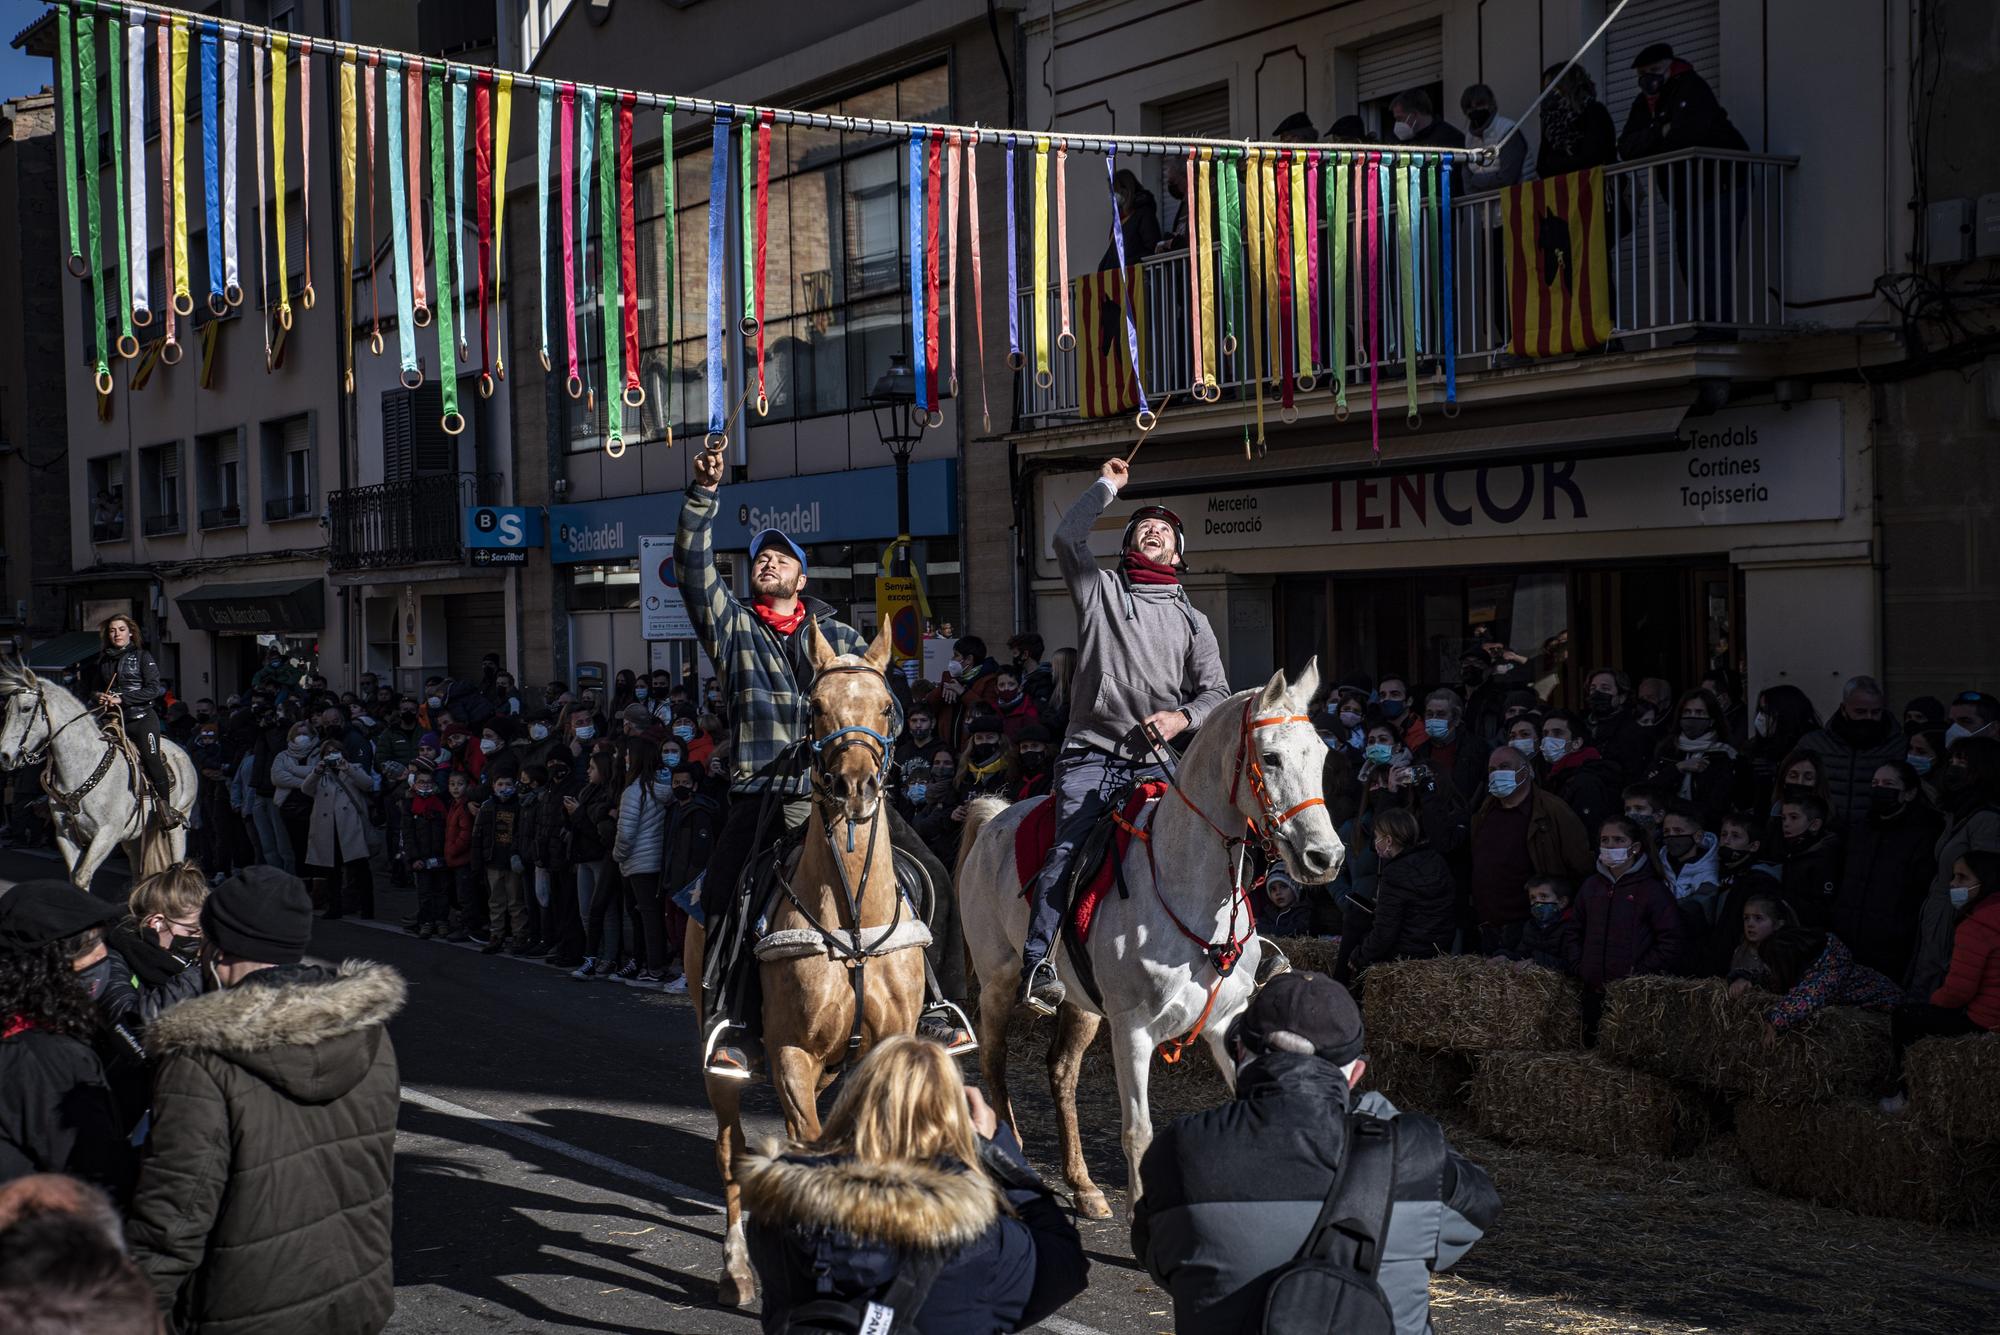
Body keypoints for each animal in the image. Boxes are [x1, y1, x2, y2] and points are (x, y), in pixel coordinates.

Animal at [0, 655, 194, 887]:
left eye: (26, 708)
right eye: (6, 710)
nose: (4, 756)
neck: (81, 768)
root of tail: (181, 751)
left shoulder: (107, 834)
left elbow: (82, 875)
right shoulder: (66, 835)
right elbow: (75, 876)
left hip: (178, 823)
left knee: (177, 861)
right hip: (134, 836)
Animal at [684, 619, 932, 1311]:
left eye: (887, 708)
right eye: (816, 707)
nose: (856, 787)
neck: (848, 921)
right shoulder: (792, 1055)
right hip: (726, 1065)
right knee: (731, 1151)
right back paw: (737, 1271)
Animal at [956, 663, 1344, 1215]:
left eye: (1322, 754)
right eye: (1270, 757)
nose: (1325, 858)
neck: (1190, 892)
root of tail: (994, 819)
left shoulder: (1224, 1022)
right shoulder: (1133, 1031)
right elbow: (1137, 1133)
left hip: (1081, 1005)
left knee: (1062, 1071)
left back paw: (1084, 1185)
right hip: (998, 982)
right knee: (994, 1061)